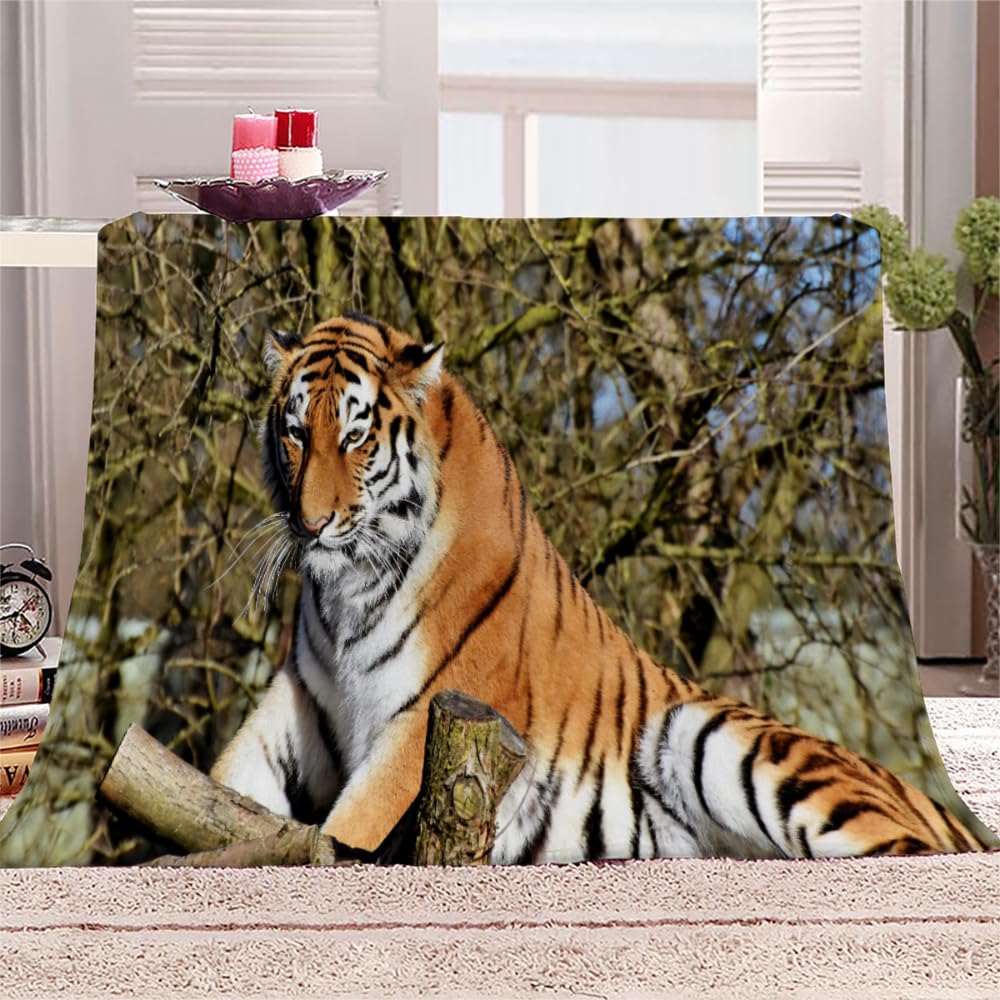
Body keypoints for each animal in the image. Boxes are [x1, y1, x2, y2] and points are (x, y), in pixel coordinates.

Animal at [210, 312, 985, 862]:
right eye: (295, 434)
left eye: (355, 438)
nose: (311, 524)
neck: (348, 590)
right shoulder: (304, 703)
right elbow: (223, 787)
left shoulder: (424, 716)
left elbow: (352, 828)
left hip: (713, 736)